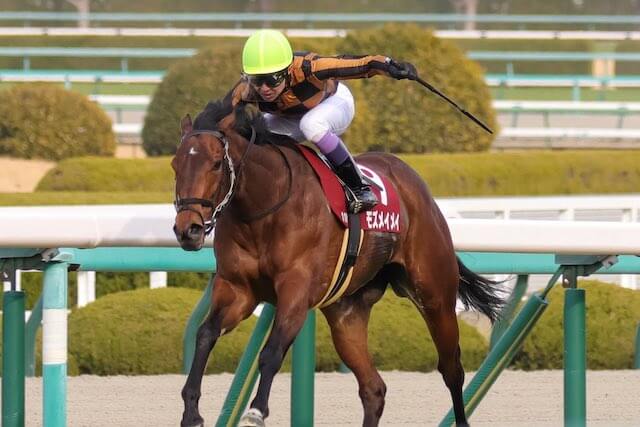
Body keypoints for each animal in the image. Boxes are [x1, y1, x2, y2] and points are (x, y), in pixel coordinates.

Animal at [171, 98, 504, 426]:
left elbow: (272, 350)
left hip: (435, 295)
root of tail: (415, 182)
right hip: (347, 313)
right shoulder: (238, 290)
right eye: (175, 165)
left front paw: (255, 412)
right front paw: (191, 411)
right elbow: (205, 334)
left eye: (216, 163)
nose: (188, 229)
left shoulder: (296, 291)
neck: (262, 209)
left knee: (451, 369)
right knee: (373, 388)